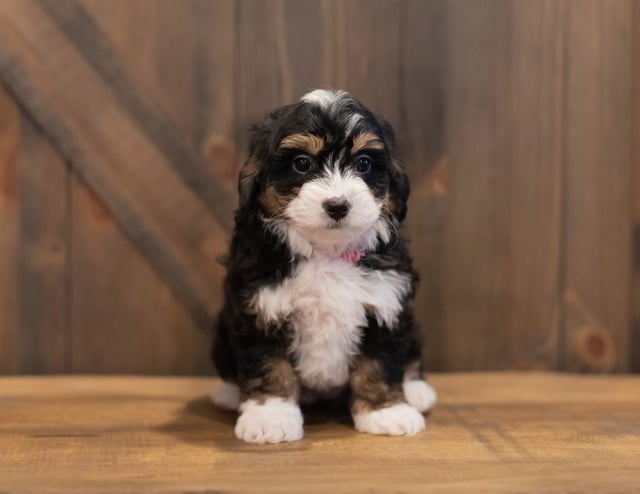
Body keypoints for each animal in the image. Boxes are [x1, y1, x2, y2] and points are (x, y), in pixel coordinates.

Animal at [212, 89, 438, 444]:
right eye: (301, 163)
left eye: (363, 164)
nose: (337, 205)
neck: (327, 251)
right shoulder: (260, 306)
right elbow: (267, 363)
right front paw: (269, 415)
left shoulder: (385, 302)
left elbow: (381, 360)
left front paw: (385, 411)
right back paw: (228, 393)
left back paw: (416, 391)